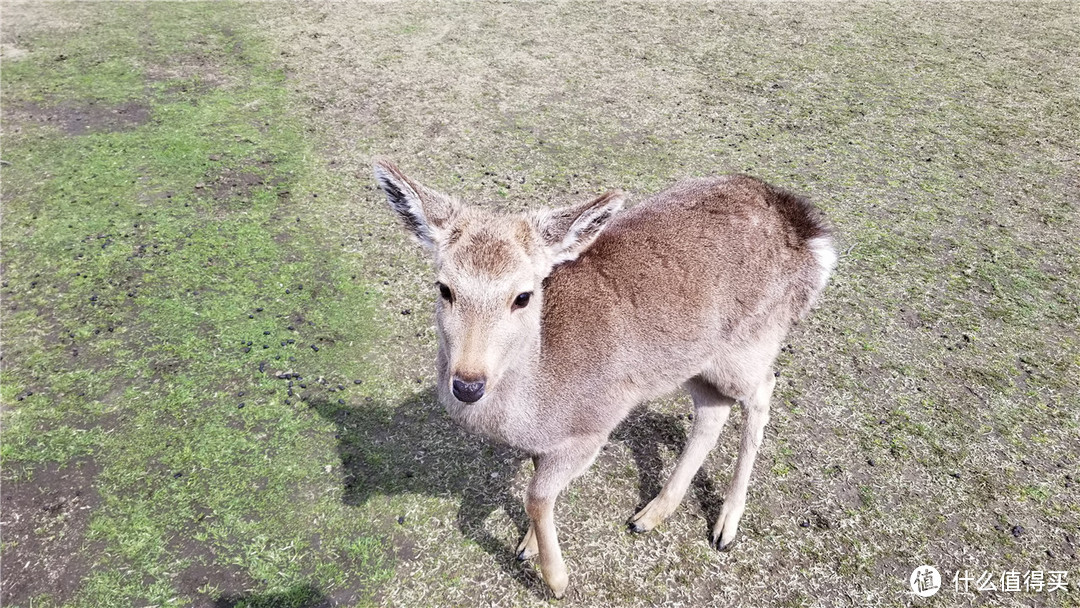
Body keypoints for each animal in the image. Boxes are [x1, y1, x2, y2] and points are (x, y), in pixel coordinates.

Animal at [375, 160, 838, 600]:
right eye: (444, 288)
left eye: (523, 296)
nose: (468, 384)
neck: (534, 409)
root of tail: (809, 231)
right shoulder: (547, 443)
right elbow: (541, 486)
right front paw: (527, 545)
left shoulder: (593, 427)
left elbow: (537, 495)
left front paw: (557, 580)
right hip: (691, 361)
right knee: (712, 411)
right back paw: (650, 514)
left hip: (751, 343)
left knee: (763, 389)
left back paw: (725, 526)